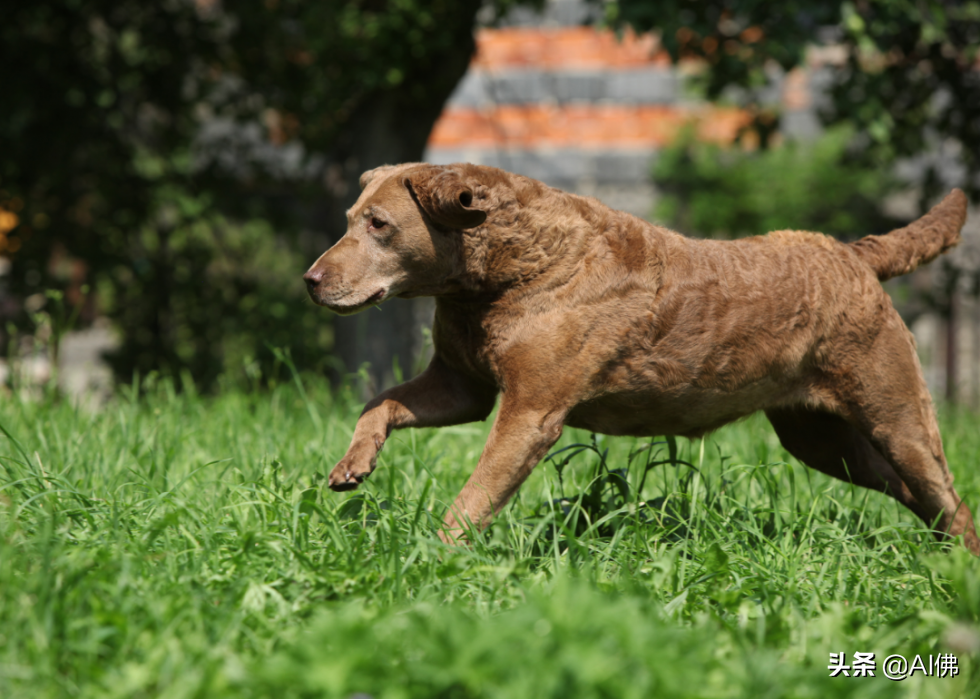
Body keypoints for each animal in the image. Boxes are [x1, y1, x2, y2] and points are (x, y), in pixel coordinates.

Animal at [304, 164, 980, 552]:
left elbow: (474, 497)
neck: (501, 273)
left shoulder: (530, 413)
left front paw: (434, 559)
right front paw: (352, 465)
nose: (309, 280)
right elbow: (379, 402)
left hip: (895, 412)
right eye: (349, 219)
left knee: (949, 497)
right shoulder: (461, 387)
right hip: (820, 438)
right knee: (914, 493)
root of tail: (854, 254)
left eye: (380, 224)